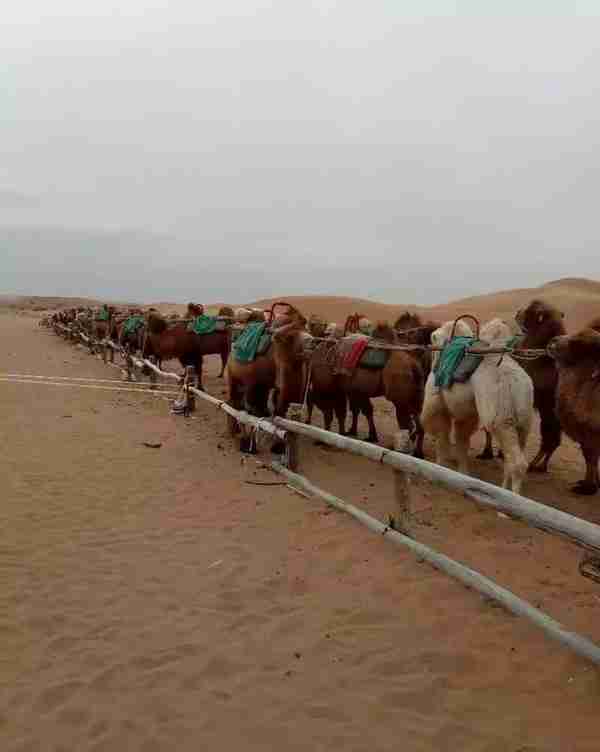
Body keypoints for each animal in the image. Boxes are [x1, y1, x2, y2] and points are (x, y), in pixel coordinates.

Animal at [422, 318, 536, 494]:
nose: (434, 367)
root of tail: (516, 384)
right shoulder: (467, 414)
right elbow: (462, 441)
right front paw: (462, 475)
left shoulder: (439, 407)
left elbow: (443, 439)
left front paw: (437, 471)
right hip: (523, 421)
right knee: (511, 458)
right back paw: (503, 490)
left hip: (502, 420)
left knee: (518, 463)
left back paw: (509, 500)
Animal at [516, 298, 568, 470]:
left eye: (530, 310)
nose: (517, 312)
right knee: (553, 440)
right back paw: (541, 465)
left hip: (549, 413)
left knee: (549, 438)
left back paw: (534, 464)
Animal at [552, 326, 600, 496]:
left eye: (579, 346)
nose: (553, 340)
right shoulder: (589, 433)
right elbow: (590, 457)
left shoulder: (592, 432)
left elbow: (591, 457)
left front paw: (588, 488)